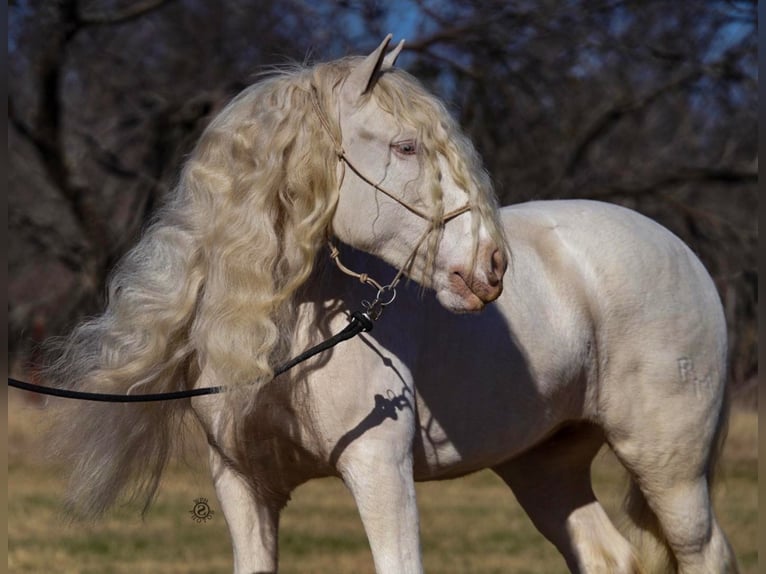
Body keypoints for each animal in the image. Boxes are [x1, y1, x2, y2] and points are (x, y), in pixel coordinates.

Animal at [46, 37, 736, 574]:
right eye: (406, 147)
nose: (491, 266)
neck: (292, 344)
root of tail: (682, 252)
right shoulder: (244, 488)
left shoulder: (379, 470)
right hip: (545, 469)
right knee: (604, 554)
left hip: (670, 469)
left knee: (706, 552)